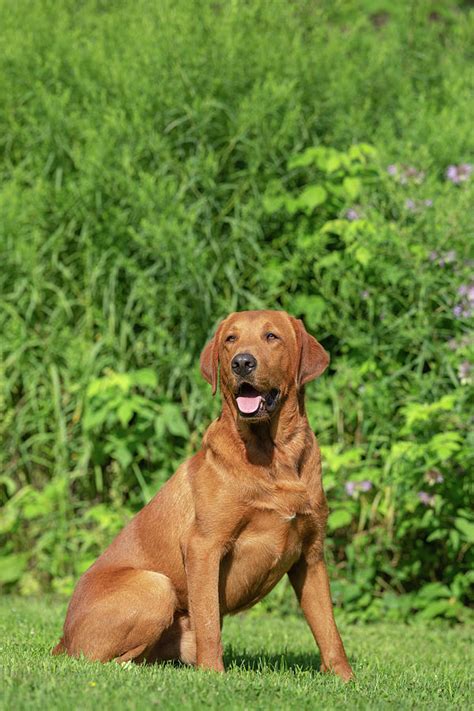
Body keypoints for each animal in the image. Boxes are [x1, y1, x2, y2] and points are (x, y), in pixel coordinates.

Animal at [52, 312, 352, 684]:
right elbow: (209, 622)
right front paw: (213, 674)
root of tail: (62, 639)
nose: (242, 362)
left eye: (272, 336)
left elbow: (329, 629)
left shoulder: (310, 556)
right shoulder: (204, 547)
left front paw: (345, 679)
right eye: (231, 339)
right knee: (104, 660)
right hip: (156, 586)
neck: (273, 457)